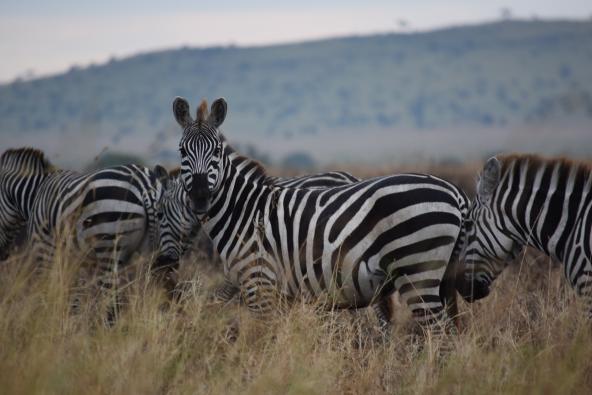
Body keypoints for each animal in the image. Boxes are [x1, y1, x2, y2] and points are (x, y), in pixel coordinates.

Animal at [0, 148, 171, 318]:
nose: (3, 255)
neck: (35, 194)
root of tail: (145, 186)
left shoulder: (44, 248)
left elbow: (49, 287)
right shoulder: (80, 259)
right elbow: (76, 294)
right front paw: (72, 320)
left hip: (108, 246)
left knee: (112, 300)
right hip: (148, 249)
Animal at [173, 96, 470, 338]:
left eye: (216, 151)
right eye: (182, 151)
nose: (200, 196)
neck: (244, 210)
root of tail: (455, 192)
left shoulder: (259, 283)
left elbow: (262, 340)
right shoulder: (274, 290)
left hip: (418, 271)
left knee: (439, 336)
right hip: (438, 276)